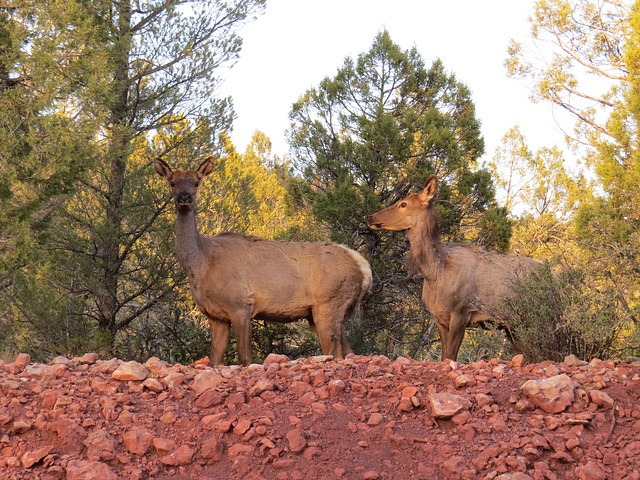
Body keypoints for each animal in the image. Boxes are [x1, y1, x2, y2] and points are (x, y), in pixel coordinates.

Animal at [155, 156, 372, 366]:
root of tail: (363, 267)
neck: (201, 263)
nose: (184, 197)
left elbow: (245, 360)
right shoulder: (215, 316)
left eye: (196, 182)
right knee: (349, 351)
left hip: (329, 304)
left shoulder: (241, 305)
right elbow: (215, 360)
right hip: (317, 313)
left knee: (335, 353)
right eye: (172, 182)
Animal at [364, 175, 540, 360]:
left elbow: (450, 357)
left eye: (403, 204)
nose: (370, 217)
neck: (436, 273)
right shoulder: (439, 318)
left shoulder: (461, 313)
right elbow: (444, 357)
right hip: (514, 327)